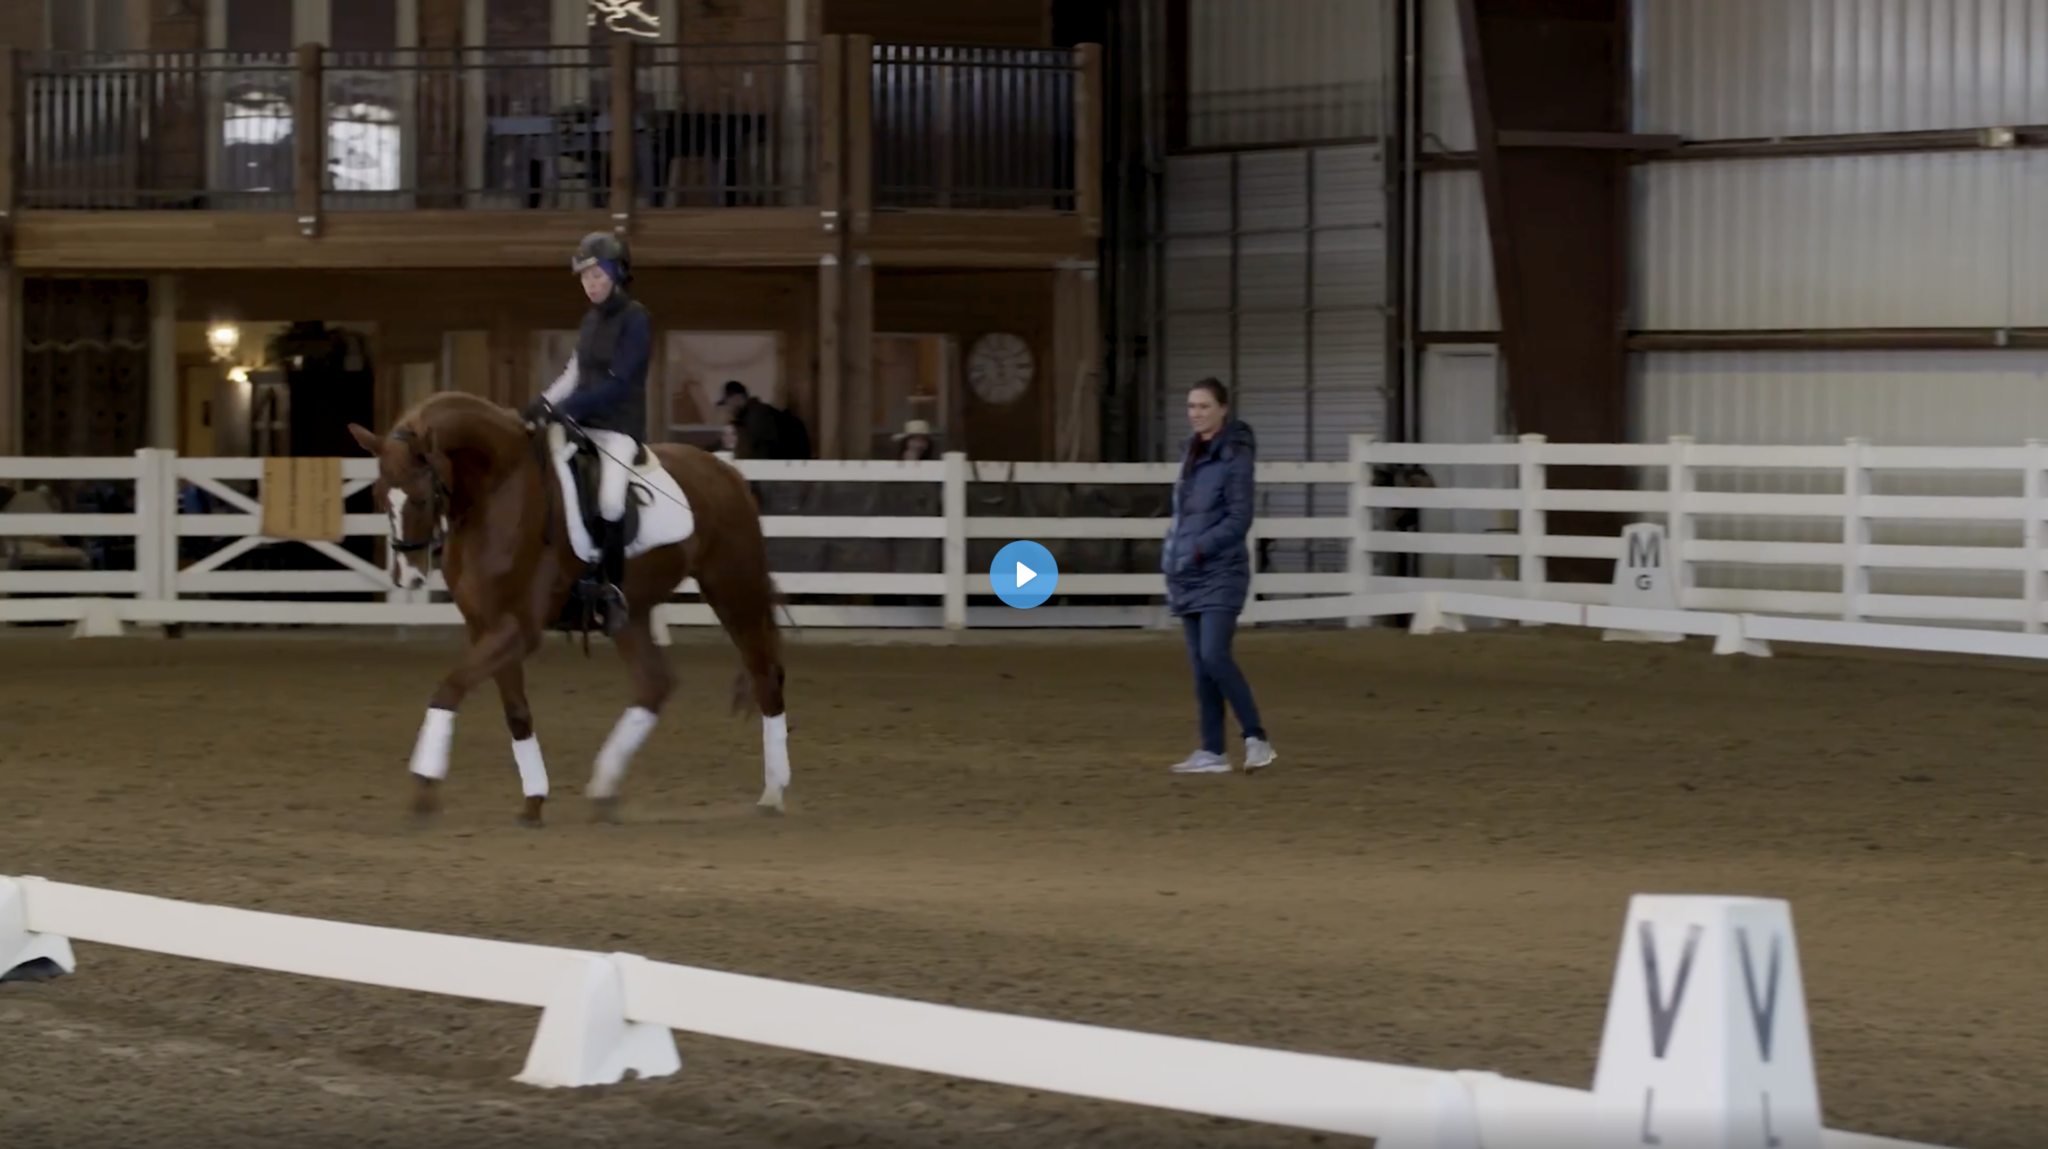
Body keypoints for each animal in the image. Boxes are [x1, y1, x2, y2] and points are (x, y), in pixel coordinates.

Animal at [344, 391, 790, 823]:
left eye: (422, 498)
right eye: (380, 497)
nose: (408, 578)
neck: (499, 490)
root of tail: (728, 473)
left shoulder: (520, 627)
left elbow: (450, 688)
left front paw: (423, 784)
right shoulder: (484, 622)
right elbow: (515, 711)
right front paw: (534, 798)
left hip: (733, 588)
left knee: (763, 674)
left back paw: (773, 793)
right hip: (632, 611)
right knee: (654, 683)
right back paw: (604, 787)